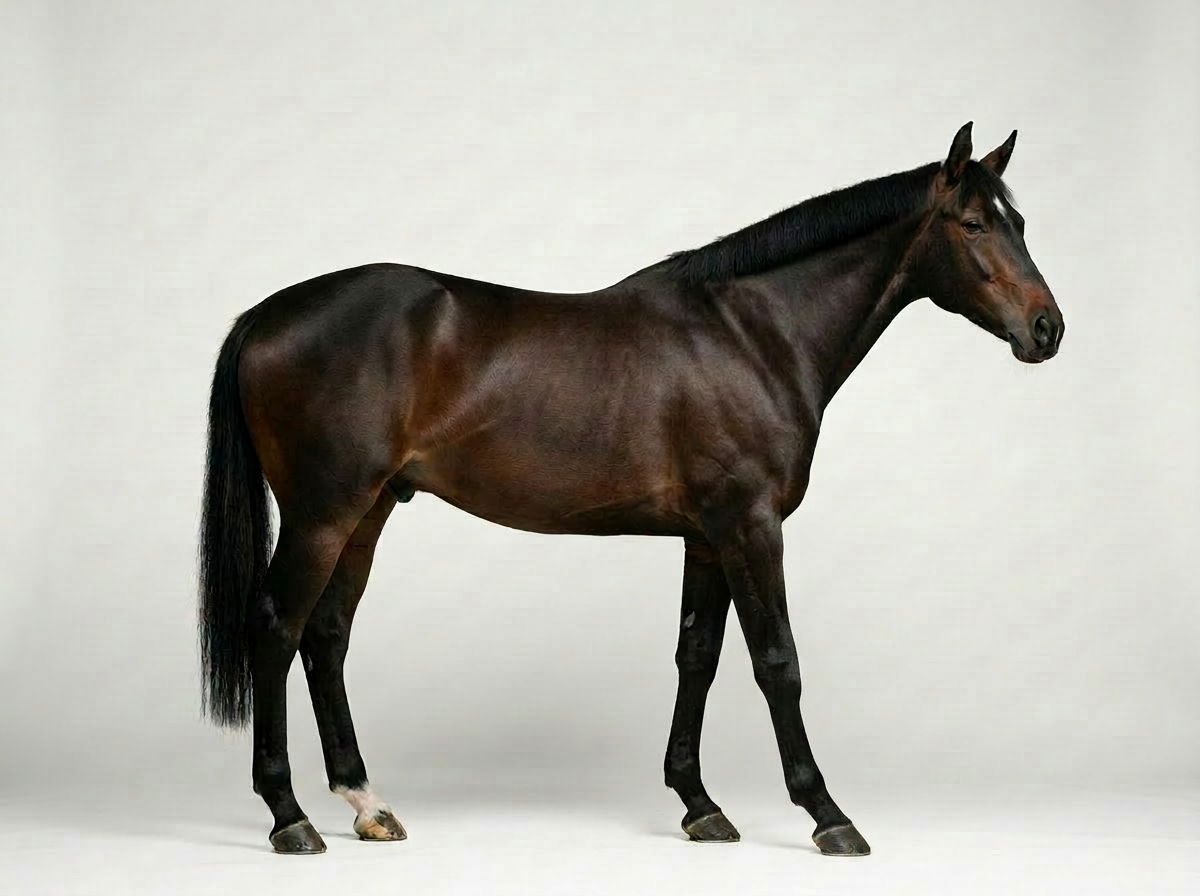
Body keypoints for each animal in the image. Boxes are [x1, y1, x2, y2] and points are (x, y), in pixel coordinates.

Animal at [199, 122, 1064, 855]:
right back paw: (289, 816)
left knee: (327, 636)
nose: (1047, 329)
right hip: (323, 512)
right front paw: (827, 814)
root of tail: (265, 315)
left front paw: (700, 804)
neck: (752, 334)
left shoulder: (708, 535)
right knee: (277, 629)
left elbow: (698, 656)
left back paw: (366, 805)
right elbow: (777, 661)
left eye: (1019, 222)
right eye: (972, 224)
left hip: (370, 510)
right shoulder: (751, 526)